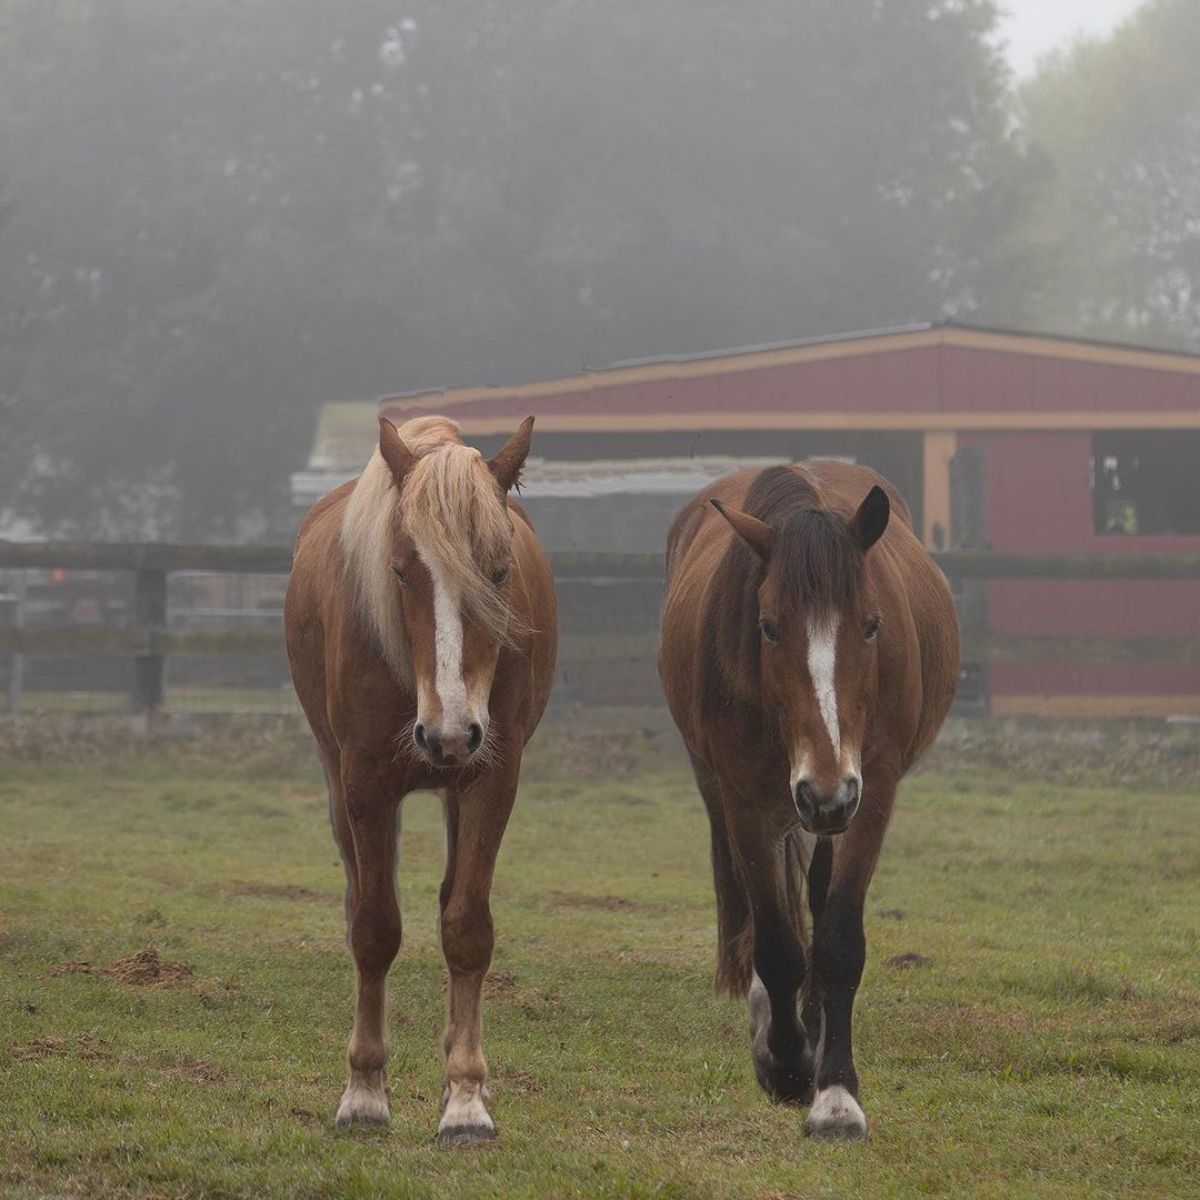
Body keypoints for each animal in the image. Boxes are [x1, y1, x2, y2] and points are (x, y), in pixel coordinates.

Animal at [284, 415, 556, 1142]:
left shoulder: (493, 777)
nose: (449, 733)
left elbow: (466, 928)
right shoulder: (365, 785)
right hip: (338, 784)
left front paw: (465, 1098)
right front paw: (364, 1093)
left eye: (498, 571)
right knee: (360, 899)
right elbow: (375, 929)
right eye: (402, 572)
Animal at [657, 460, 955, 1142]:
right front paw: (785, 1065)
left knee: (817, 893)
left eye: (872, 624)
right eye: (768, 627)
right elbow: (775, 943)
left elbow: (839, 937)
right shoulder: (744, 803)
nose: (824, 793)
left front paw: (835, 1093)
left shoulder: (871, 794)